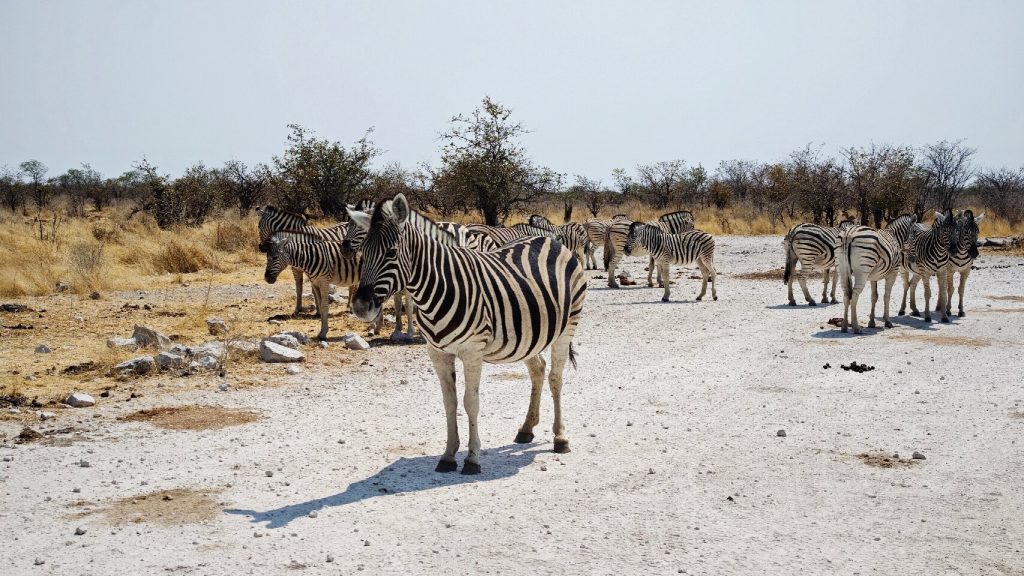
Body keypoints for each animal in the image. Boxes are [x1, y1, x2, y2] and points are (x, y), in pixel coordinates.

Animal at [347, 194, 587, 475]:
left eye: (391, 253)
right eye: (363, 254)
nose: (360, 307)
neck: (438, 289)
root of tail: (550, 240)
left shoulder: (472, 352)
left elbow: (470, 402)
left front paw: (472, 459)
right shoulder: (437, 353)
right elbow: (449, 402)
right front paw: (448, 455)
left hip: (567, 327)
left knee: (555, 378)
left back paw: (560, 438)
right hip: (530, 334)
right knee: (538, 370)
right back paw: (526, 429)